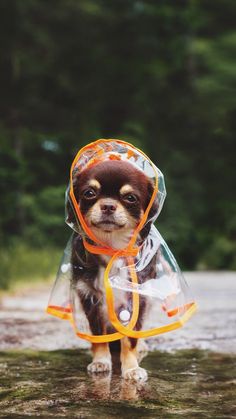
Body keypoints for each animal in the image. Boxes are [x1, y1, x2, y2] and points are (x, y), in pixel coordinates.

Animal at [69, 159, 157, 382]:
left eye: (130, 198)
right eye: (89, 193)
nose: (108, 205)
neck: (111, 247)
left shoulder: (136, 299)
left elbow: (130, 338)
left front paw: (132, 368)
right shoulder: (90, 298)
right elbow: (99, 336)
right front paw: (101, 361)